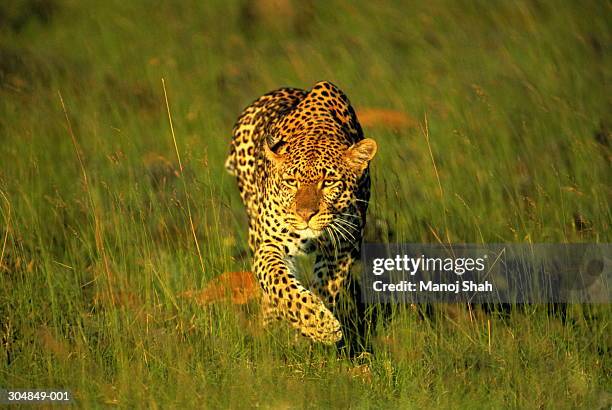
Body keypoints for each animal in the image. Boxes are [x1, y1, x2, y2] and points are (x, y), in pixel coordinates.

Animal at [226, 81, 376, 350]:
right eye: (291, 181)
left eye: (328, 182)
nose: (306, 215)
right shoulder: (270, 244)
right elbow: (280, 283)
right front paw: (319, 325)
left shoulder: (341, 248)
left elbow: (327, 287)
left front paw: (310, 332)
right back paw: (270, 325)